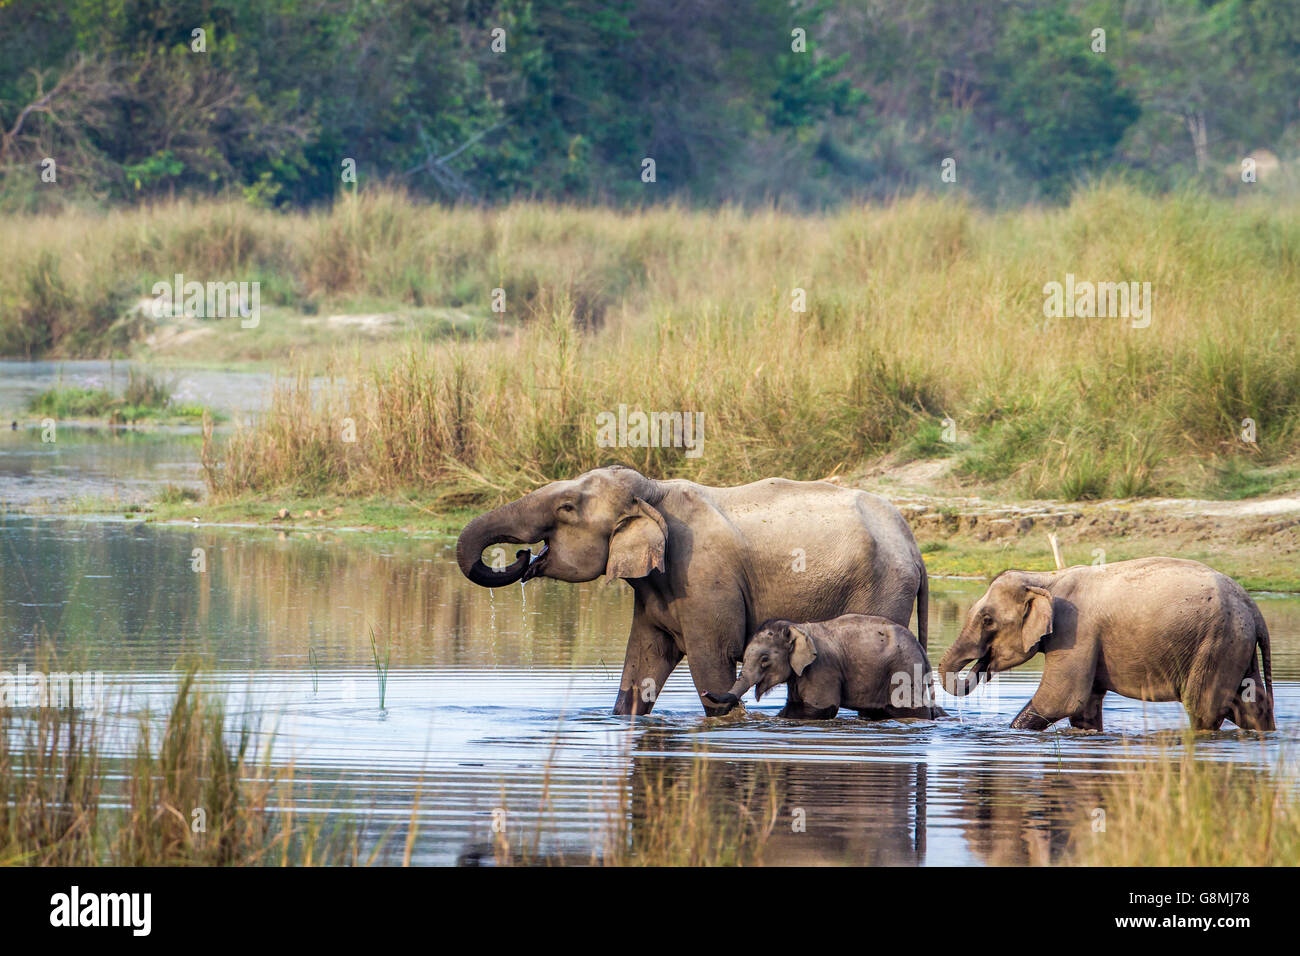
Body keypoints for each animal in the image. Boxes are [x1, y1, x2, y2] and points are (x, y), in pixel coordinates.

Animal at [452, 463, 930, 717]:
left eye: (566, 509)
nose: (521, 556)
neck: (653, 492)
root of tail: (915, 548)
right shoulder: (655, 588)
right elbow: (641, 664)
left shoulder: (703, 580)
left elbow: (712, 663)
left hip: (883, 589)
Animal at [707, 616, 941, 723]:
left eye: (765, 659)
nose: (706, 691)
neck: (797, 627)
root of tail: (921, 650)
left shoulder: (822, 669)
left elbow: (819, 709)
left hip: (904, 672)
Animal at [941, 554, 1274, 733]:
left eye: (987, 620)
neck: (1046, 578)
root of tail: (1254, 609)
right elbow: (1084, 709)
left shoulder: (1076, 633)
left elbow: (1059, 699)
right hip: (1236, 645)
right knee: (1251, 705)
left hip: (1217, 643)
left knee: (1204, 710)